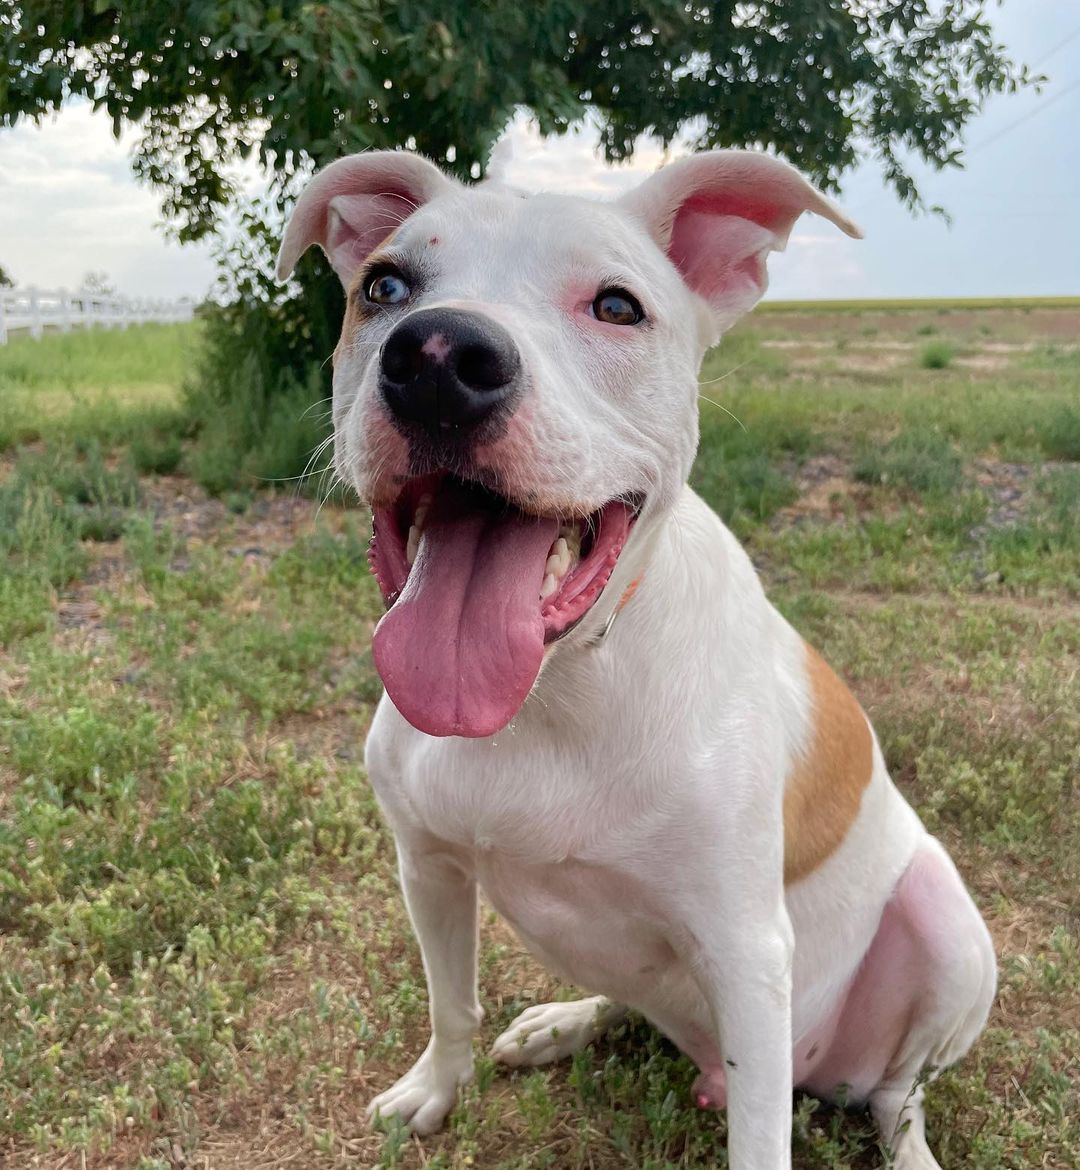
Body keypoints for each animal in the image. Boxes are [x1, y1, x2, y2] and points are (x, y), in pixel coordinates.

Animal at [276, 148, 996, 1170]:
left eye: (617, 306)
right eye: (383, 286)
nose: (440, 358)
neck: (556, 690)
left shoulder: (748, 951)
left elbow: (760, 1140)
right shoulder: (427, 867)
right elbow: (451, 1004)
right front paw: (434, 1091)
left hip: (940, 924)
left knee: (900, 1097)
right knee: (639, 999)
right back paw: (565, 1022)